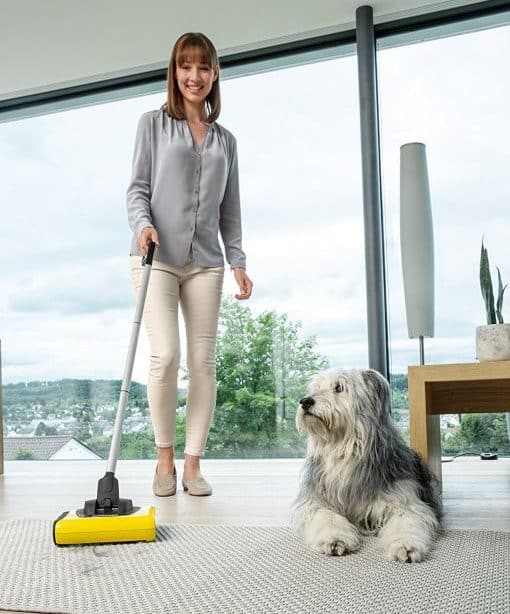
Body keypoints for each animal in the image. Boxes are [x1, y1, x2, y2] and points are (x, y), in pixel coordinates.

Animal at [294, 368, 442, 564]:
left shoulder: (404, 499)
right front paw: (334, 539)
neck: (344, 451)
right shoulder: (318, 501)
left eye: (339, 387)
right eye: (316, 388)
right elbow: (327, 517)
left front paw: (405, 545)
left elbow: (405, 520)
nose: (305, 401)